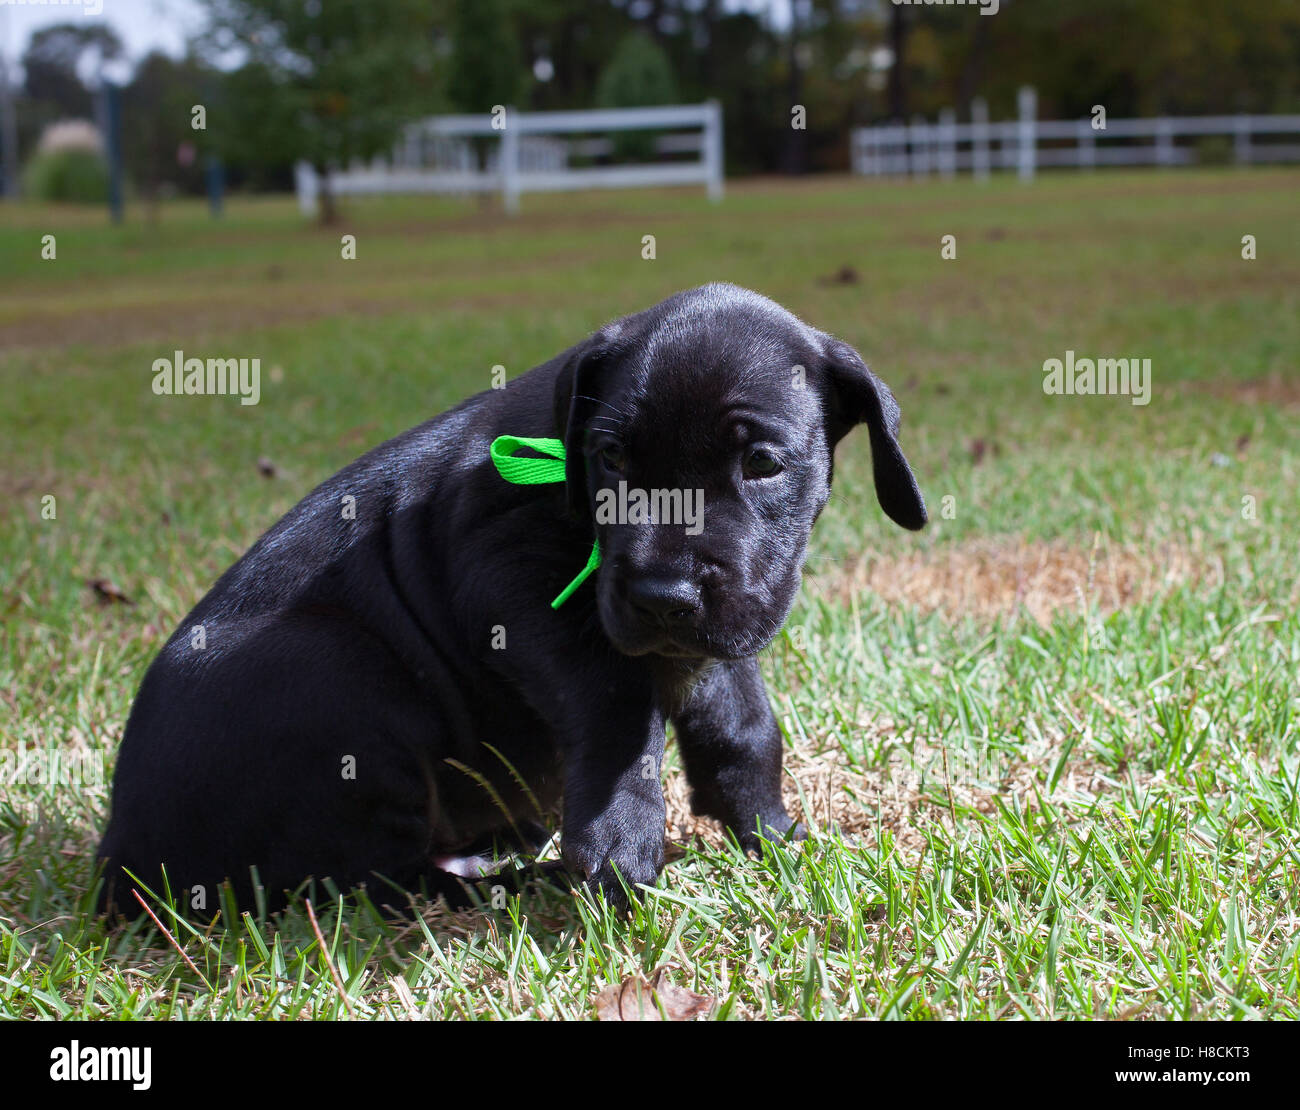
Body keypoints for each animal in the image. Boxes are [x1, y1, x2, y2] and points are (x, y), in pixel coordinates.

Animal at [94, 287, 925, 920]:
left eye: (761, 463)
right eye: (610, 457)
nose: (662, 598)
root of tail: (116, 860)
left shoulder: (721, 629)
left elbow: (741, 724)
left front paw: (772, 834)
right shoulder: (506, 581)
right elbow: (614, 702)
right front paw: (617, 831)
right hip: (335, 666)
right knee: (376, 881)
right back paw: (519, 881)